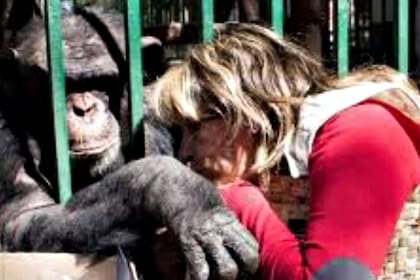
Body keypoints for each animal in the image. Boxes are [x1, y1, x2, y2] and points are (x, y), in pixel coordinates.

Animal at [0, 1, 258, 278]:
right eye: (63, 87)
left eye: (104, 82)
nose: (84, 108)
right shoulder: (4, 126)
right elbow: (25, 214)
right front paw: (179, 191)